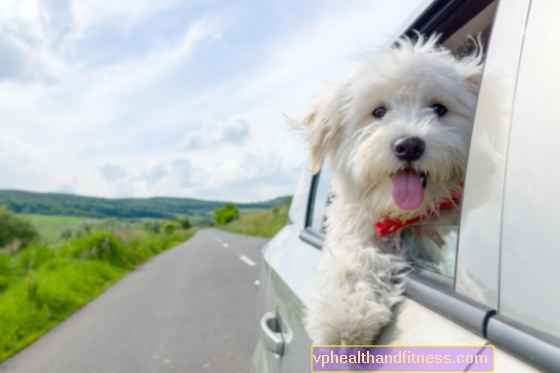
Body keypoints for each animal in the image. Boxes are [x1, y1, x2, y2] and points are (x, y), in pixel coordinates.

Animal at [298, 34, 482, 342]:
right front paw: (344, 318)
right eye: (379, 111)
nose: (408, 145)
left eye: (439, 109)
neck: (412, 214)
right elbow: (352, 257)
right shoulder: (356, 225)